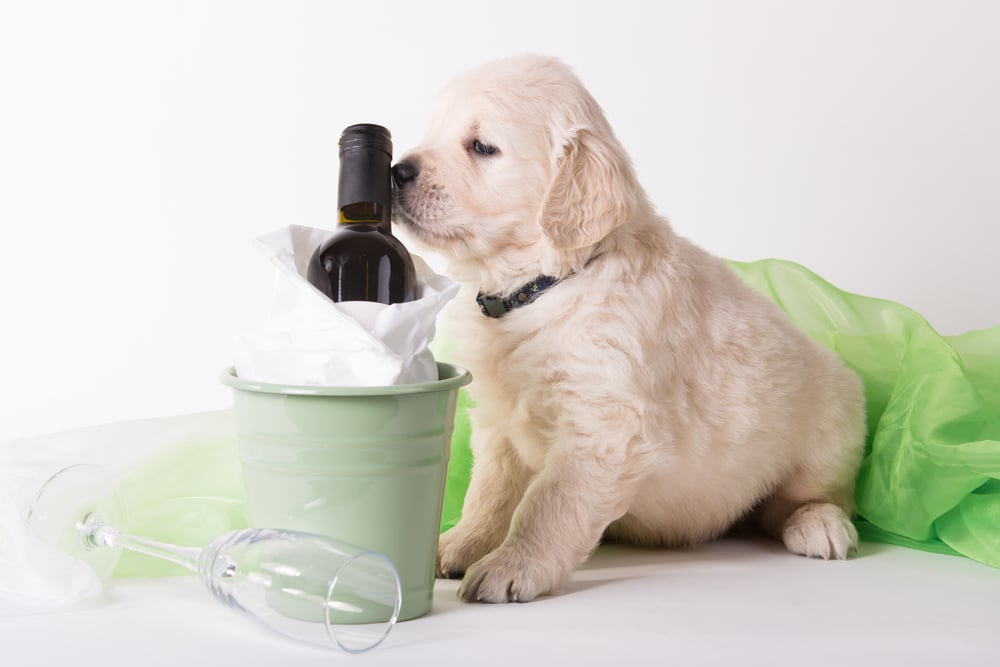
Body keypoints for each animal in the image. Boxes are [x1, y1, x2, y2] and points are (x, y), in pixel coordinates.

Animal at [390, 54, 868, 604]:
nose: (395, 171)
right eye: (434, 132)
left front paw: (512, 566)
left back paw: (819, 525)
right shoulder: (499, 421)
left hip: (832, 427)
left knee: (815, 498)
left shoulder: (605, 426)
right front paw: (460, 544)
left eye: (483, 146)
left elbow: (548, 504)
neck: (542, 287)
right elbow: (490, 492)